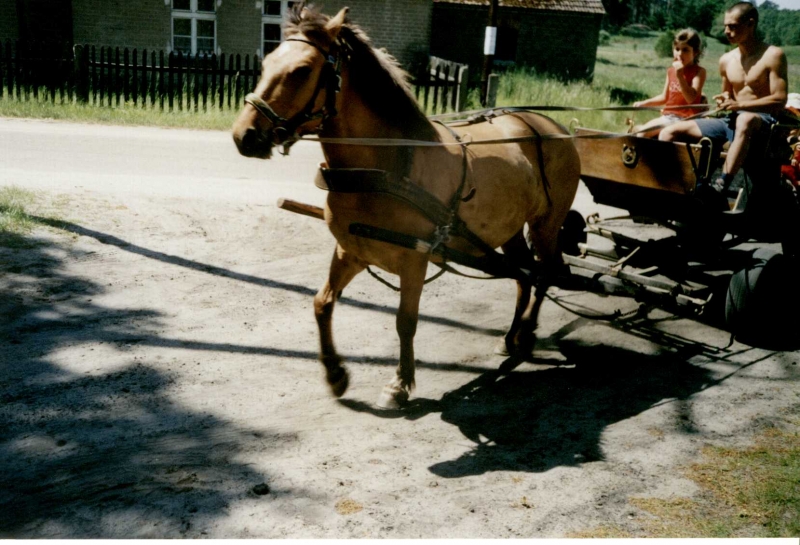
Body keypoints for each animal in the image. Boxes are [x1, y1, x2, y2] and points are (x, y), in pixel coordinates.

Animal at [233, 3, 580, 404]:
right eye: (267, 61)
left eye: (302, 70)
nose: (245, 135)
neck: (386, 167)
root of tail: (554, 127)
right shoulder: (350, 250)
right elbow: (322, 303)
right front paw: (335, 374)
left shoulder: (414, 258)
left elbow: (405, 321)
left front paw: (400, 383)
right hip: (510, 230)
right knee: (523, 275)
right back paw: (510, 337)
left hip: (545, 224)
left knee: (544, 273)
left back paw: (526, 334)